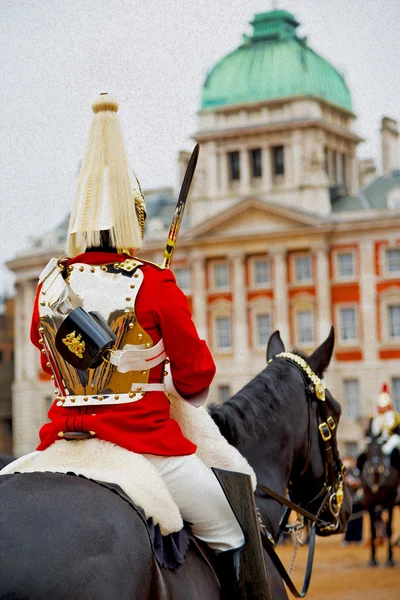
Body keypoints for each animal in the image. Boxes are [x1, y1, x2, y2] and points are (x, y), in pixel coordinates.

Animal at [358, 436, 398, 568]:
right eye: (368, 448)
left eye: (380, 448)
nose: (375, 469)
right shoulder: (369, 505)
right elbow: (373, 531)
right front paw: (373, 559)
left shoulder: (390, 504)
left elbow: (389, 529)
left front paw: (390, 559)